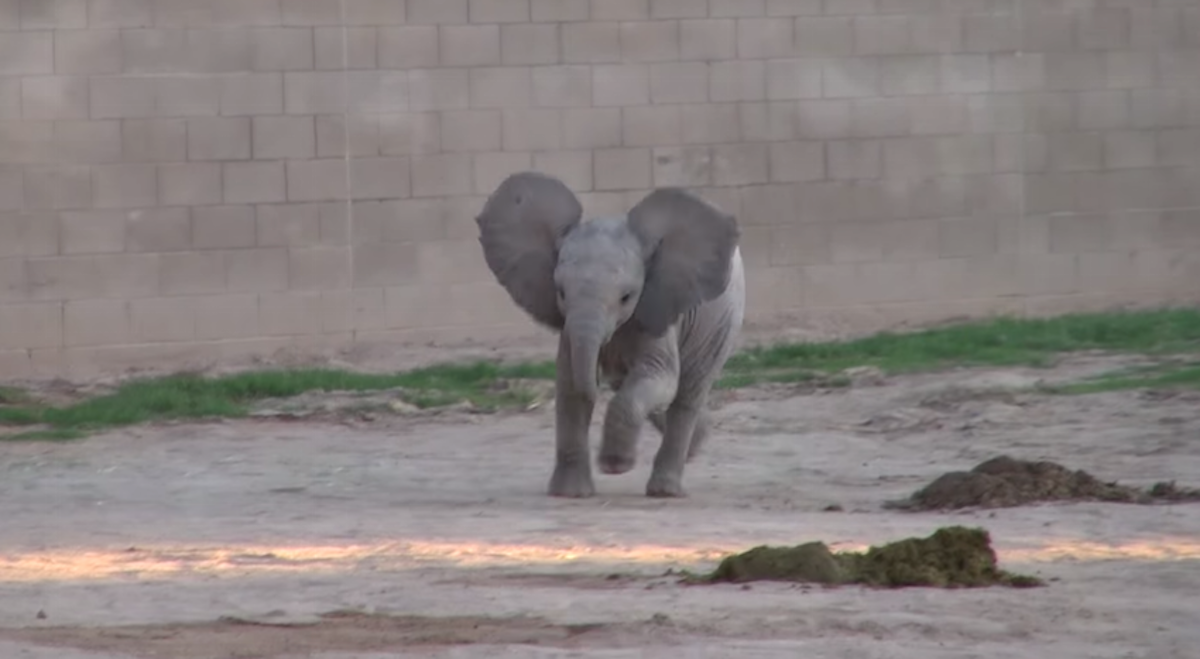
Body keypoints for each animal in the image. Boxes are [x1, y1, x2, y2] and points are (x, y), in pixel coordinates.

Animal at [475, 172, 746, 498]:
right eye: (560, 292)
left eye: (627, 297)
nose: (598, 374)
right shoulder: (570, 329)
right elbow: (569, 385)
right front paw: (571, 495)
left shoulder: (657, 310)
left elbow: (662, 377)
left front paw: (615, 465)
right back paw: (696, 444)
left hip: (722, 323)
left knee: (686, 395)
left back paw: (666, 489)